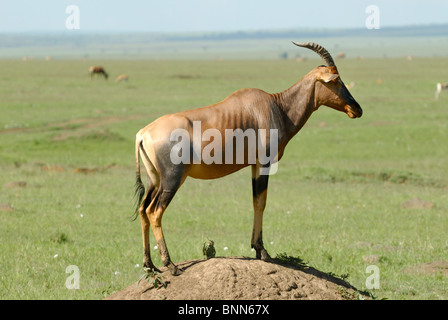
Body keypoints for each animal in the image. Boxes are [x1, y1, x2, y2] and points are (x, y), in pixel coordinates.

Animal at [132, 40, 360, 276]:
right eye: (337, 80)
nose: (357, 109)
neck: (275, 106)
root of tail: (144, 133)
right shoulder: (264, 163)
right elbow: (261, 202)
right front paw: (262, 251)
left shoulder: (253, 165)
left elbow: (254, 201)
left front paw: (256, 248)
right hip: (172, 179)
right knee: (154, 211)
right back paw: (170, 265)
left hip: (154, 180)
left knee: (142, 209)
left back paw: (149, 264)